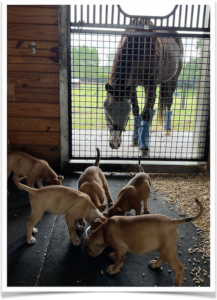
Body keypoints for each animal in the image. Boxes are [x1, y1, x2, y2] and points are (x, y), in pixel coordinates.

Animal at [104, 19, 182, 155]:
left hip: (172, 80)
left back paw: (166, 130)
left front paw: (144, 147)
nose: (114, 143)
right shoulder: (132, 86)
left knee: (168, 102)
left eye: (125, 112)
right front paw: (136, 140)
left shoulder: (150, 84)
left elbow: (145, 113)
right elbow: (137, 110)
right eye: (107, 110)